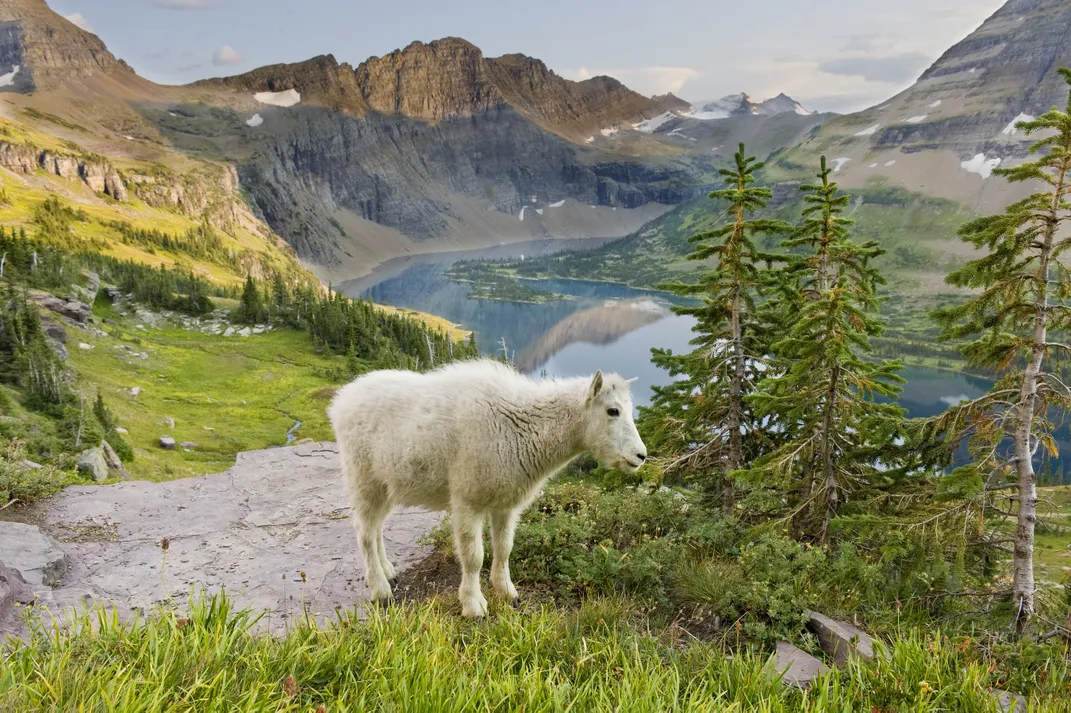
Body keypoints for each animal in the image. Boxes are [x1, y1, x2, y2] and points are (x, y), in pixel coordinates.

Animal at [325, 357, 642, 612]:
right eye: (613, 411)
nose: (640, 455)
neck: (523, 427)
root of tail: (341, 401)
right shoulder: (468, 500)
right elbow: (474, 556)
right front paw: (474, 605)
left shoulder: (506, 504)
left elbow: (504, 548)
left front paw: (508, 593)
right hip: (362, 477)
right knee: (364, 532)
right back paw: (380, 589)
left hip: (386, 484)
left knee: (376, 527)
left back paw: (388, 571)